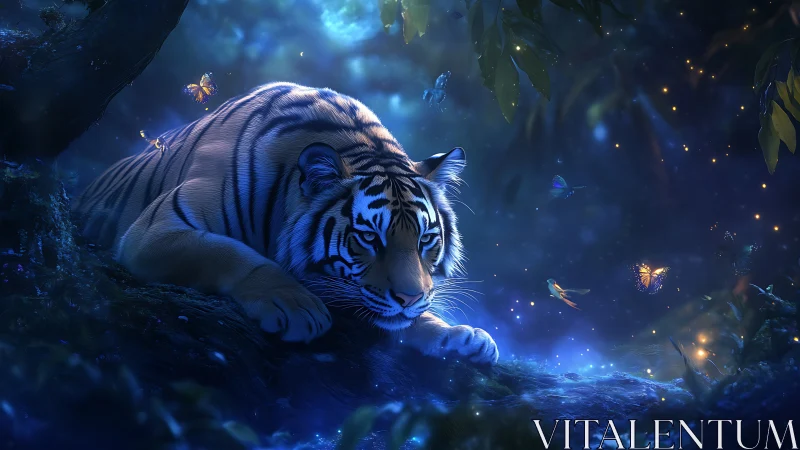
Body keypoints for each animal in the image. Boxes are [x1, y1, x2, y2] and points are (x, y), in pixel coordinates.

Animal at [72, 82, 499, 365]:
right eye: (368, 237)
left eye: (425, 239)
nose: (409, 298)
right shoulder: (157, 228)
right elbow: (230, 252)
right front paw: (296, 305)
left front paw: (461, 337)